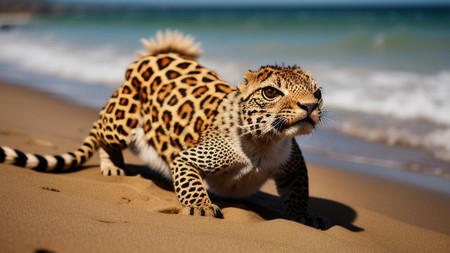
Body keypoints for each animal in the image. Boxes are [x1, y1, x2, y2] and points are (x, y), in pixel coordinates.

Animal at [1, 29, 328, 229]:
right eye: (271, 92)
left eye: (318, 92)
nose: (310, 107)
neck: (265, 141)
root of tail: (150, 58)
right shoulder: (186, 158)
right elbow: (192, 184)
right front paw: (201, 208)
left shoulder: (293, 167)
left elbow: (299, 192)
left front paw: (302, 217)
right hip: (119, 123)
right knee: (102, 135)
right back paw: (112, 166)